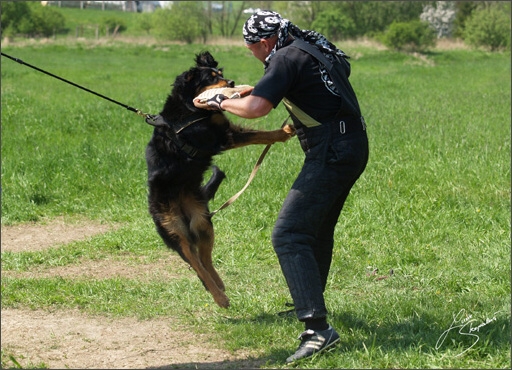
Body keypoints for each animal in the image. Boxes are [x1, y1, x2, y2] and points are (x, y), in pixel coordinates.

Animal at [145, 51, 296, 306]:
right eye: (211, 78)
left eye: (221, 74)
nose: (232, 83)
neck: (189, 108)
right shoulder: (222, 136)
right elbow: (258, 134)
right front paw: (282, 132)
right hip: (173, 229)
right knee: (195, 262)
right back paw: (219, 297)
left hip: (202, 222)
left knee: (204, 260)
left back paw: (218, 285)